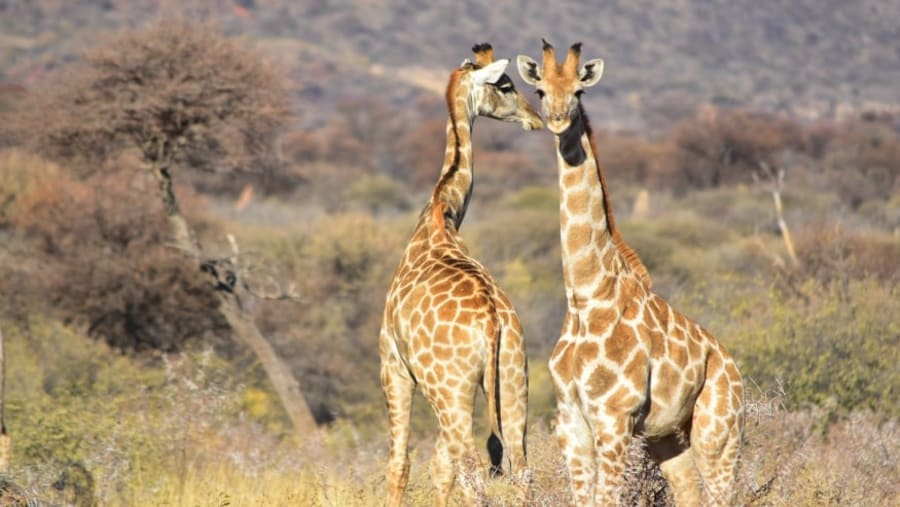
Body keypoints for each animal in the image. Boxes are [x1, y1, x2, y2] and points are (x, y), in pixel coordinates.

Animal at [380, 43, 542, 507]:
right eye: (506, 86)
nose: (536, 118)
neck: (442, 214)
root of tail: (491, 324)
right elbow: (440, 469)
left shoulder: (393, 363)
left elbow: (401, 465)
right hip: (513, 378)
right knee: (518, 467)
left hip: (449, 389)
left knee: (472, 472)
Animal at [517, 40, 744, 506]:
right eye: (541, 90)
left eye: (579, 91)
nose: (558, 121)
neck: (586, 296)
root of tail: (735, 370)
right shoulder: (571, 421)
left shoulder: (614, 418)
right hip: (668, 437)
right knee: (690, 493)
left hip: (718, 432)